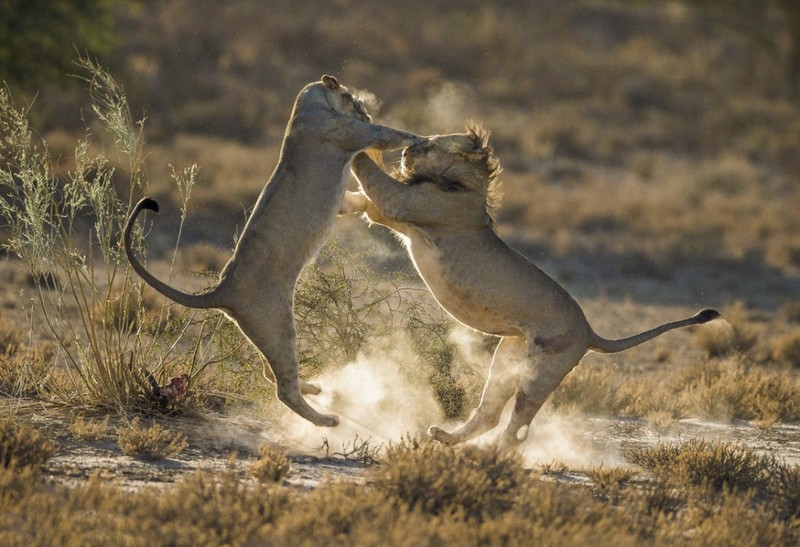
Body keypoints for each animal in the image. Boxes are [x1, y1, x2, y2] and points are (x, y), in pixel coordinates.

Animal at [122, 76, 422, 428]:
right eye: (353, 98)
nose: (366, 111)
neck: (304, 105)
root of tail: (221, 290)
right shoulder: (350, 133)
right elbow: (391, 133)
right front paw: (426, 140)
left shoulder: (342, 187)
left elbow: (353, 200)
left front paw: (370, 204)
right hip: (277, 326)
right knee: (282, 389)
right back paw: (325, 420)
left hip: (263, 331)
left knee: (271, 374)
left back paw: (314, 388)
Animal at [344, 125, 720, 450]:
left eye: (430, 144)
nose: (407, 150)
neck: (460, 185)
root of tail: (590, 332)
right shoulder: (386, 212)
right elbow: (361, 197)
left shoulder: (400, 202)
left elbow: (368, 167)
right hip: (507, 358)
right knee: (490, 414)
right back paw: (446, 437)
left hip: (539, 375)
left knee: (516, 431)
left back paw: (486, 453)